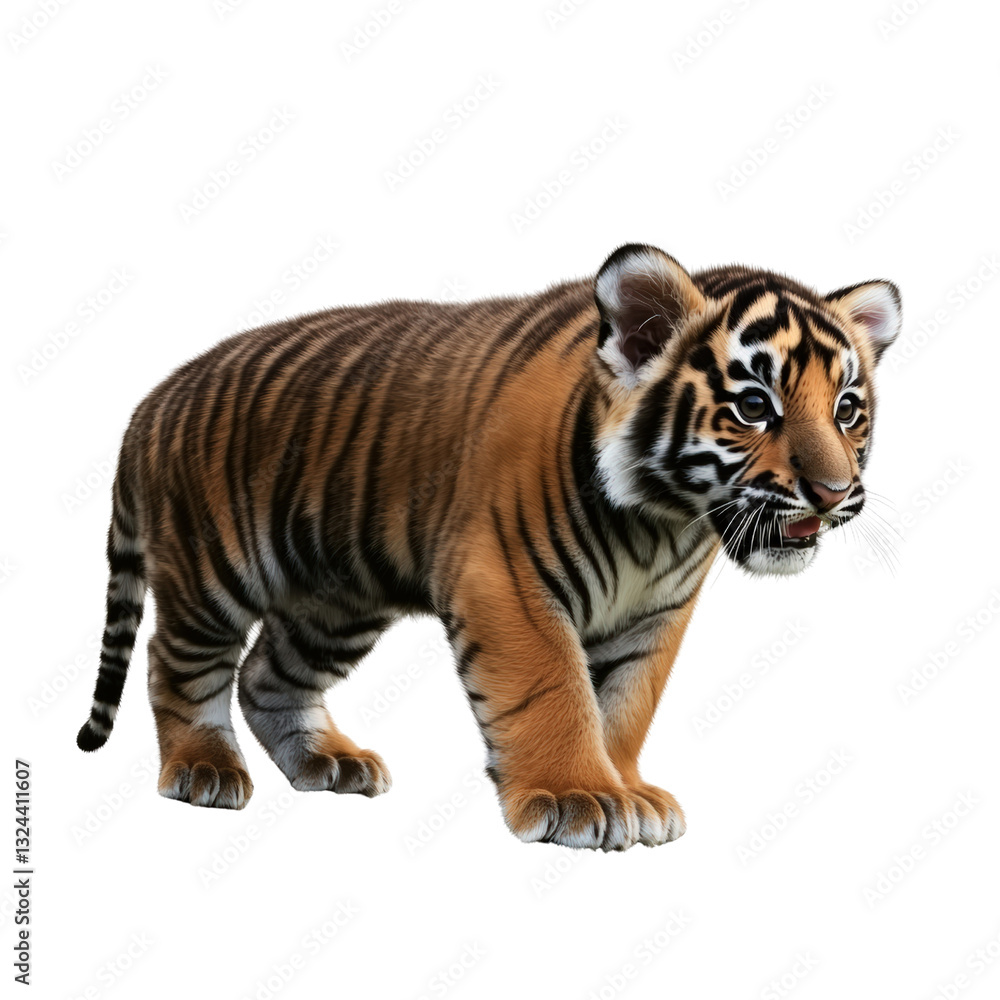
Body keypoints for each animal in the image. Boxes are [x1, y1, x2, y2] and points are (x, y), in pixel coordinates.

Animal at [76, 243, 900, 851]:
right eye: (755, 406)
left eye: (847, 409)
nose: (834, 493)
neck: (664, 522)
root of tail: (152, 399)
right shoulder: (509, 582)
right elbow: (553, 690)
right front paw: (580, 796)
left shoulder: (655, 617)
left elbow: (625, 702)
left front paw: (628, 789)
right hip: (213, 571)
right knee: (177, 662)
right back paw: (204, 769)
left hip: (336, 603)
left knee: (265, 677)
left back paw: (327, 762)